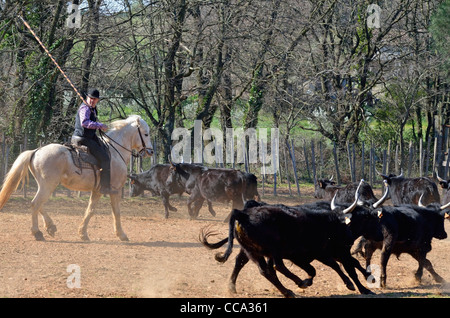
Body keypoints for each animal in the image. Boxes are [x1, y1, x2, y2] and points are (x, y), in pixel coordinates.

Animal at [0, 114, 153, 241]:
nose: (150, 151)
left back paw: (51, 227)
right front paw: (122, 235)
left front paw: (83, 233)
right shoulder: (114, 190)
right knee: (35, 204)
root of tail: (36, 151)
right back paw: (37, 233)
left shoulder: (97, 191)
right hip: (48, 186)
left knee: (39, 205)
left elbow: (90, 211)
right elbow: (116, 212)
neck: (115, 152)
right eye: (145, 134)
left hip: (45, 186)